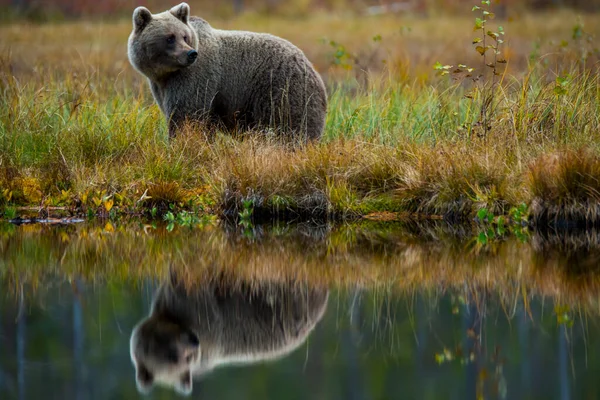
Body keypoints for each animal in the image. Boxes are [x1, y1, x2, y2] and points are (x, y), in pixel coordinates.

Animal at [126, 1, 328, 141]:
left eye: (184, 36)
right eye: (170, 37)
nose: (191, 54)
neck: (166, 74)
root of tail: (314, 71)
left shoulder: (193, 79)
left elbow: (186, 116)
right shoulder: (161, 86)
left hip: (281, 88)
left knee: (290, 128)